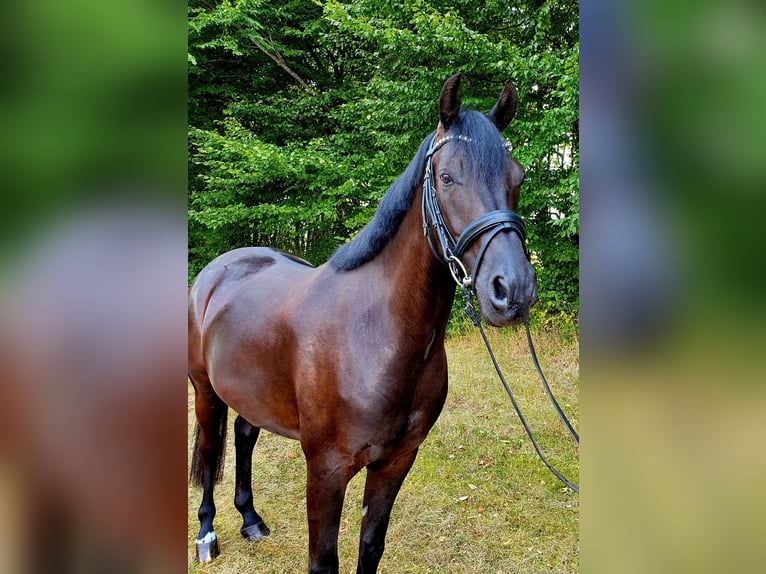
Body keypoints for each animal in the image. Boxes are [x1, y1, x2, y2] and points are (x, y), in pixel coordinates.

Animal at [190, 74, 540, 572]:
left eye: (518, 177)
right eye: (446, 177)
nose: (513, 290)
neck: (377, 338)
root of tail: (218, 269)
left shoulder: (396, 462)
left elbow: (371, 546)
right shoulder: (326, 471)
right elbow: (324, 561)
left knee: (242, 435)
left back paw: (251, 519)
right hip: (204, 389)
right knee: (208, 448)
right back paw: (207, 533)